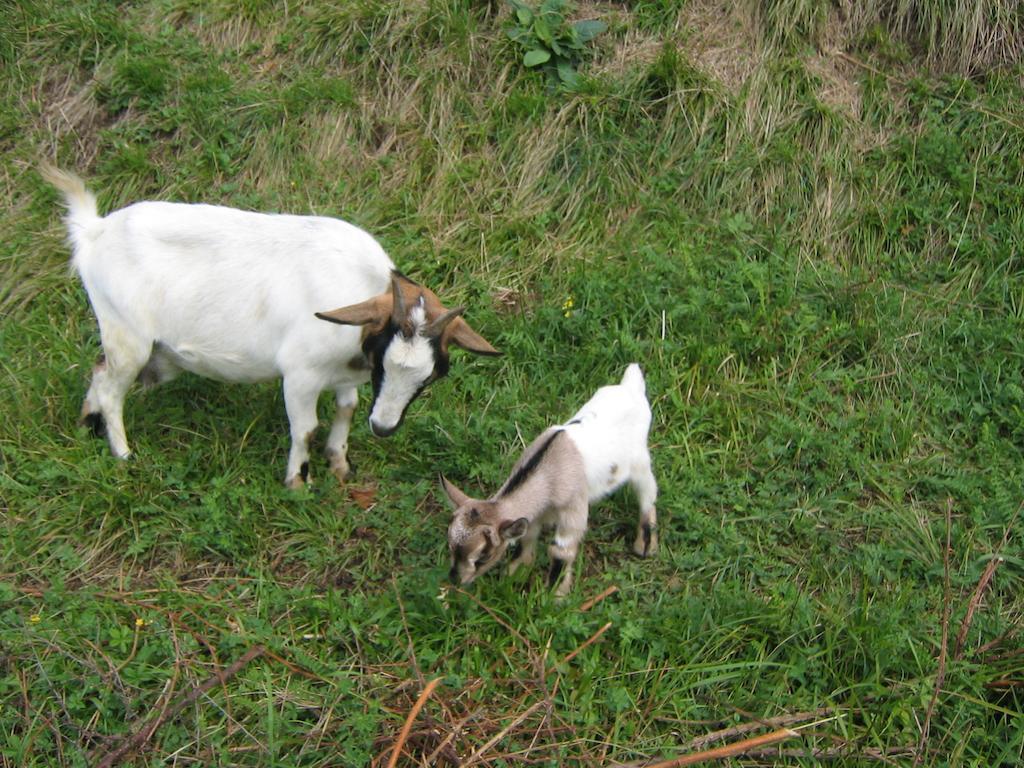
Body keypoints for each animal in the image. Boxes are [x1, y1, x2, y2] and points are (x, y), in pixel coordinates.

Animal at [44, 165, 499, 487]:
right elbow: (306, 428)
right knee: (111, 387)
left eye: (430, 376)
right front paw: (298, 481)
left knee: (99, 371)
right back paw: (123, 455)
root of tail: (95, 231)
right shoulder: (300, 375)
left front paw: (340, 464)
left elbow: (347, 408)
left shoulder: (344, 372)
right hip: (129, 336)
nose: (384, 428)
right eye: (386, 362)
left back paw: (88, 424)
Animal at [440, 364, 655, 598]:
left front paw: (555, 594)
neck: (547, 472)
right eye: (450, 545)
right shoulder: (534, 514)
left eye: (483, 556)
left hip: (639, 460)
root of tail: (630, 386)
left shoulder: (574, 508)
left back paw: (645, 545)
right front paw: (514, 572)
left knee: (648, 492)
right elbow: (527, 537)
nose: (455, 579)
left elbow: (561, 550)